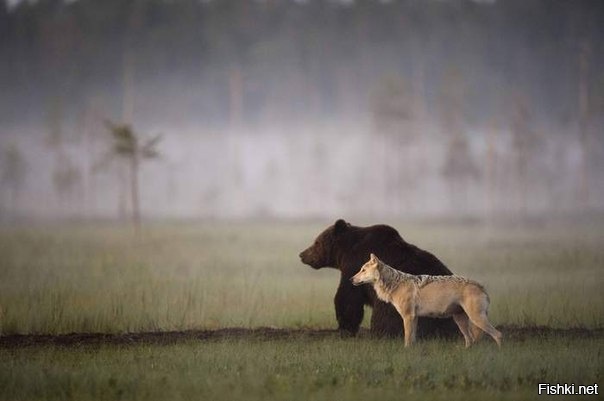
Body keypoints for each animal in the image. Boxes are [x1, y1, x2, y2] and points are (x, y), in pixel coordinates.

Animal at [298, 219, 458, 338]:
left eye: (316, 242)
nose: (302, 254)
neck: (345, 251)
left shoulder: (353, 265)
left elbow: (348, 298)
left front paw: (344, 328)